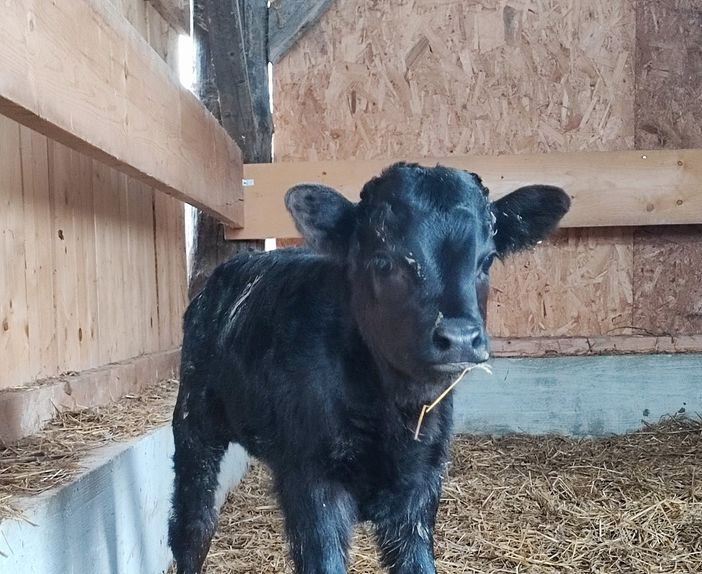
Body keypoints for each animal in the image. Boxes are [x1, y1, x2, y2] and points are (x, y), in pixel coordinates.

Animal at [168, 163, 570, 574]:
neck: (394, 411)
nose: (459, 337)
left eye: (487, 260)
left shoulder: (421, 484)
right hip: (194, 421)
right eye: (383, 260)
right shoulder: (311, 481)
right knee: (193, 525)